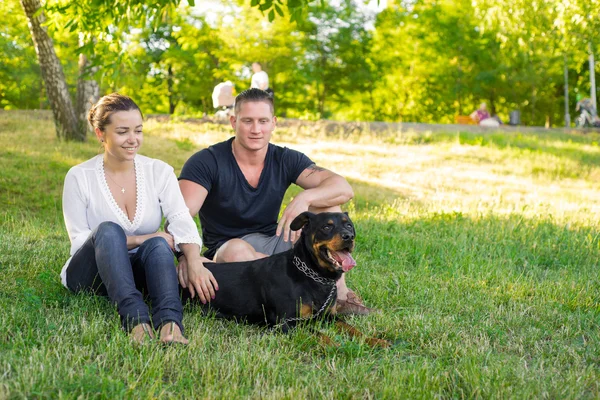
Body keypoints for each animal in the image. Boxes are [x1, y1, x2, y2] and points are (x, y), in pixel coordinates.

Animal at [185, 211, 386, 346]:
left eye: (349, 225)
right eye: (327, 226)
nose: (349, 236)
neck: (315, 277)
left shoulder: (328, 316)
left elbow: (351, 328)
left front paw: (375, 341)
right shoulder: (287, 322)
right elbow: (318, 334)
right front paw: (335, 345)